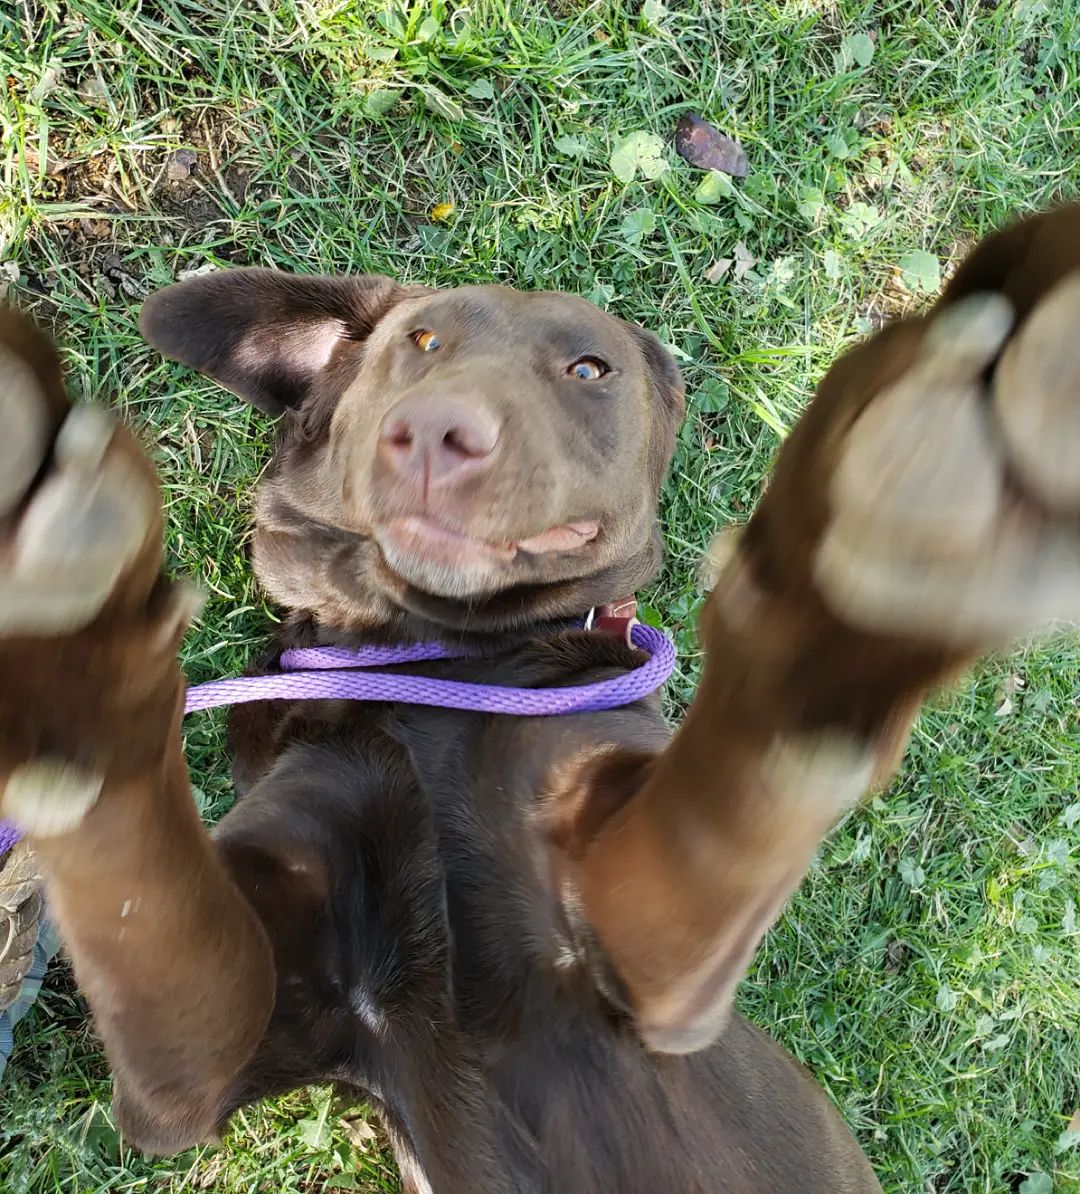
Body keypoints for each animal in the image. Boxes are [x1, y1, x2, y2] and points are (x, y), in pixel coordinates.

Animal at [0, 205, 1074, 1194]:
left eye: (590, 370)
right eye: (421, 342)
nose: (438, 435)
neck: (429, 667)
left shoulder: (656, 968)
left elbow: (751, 783)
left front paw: (874, 568)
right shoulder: (195, 1067)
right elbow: (132, 873)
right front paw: (62, 661)